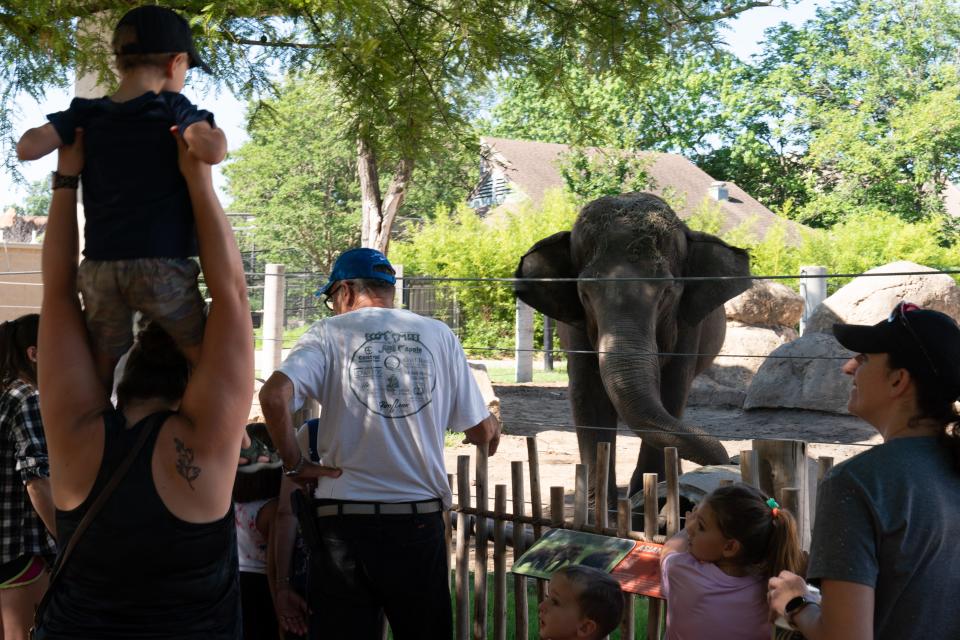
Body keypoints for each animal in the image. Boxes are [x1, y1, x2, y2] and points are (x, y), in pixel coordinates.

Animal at [512, 192, 752, 508]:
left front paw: (647, 501)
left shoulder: (688, 324)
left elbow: (672, 391)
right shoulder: (575, 327)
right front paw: (598, 509)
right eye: (584, 294)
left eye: (667, 292)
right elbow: (588, 394)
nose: (729, 460)